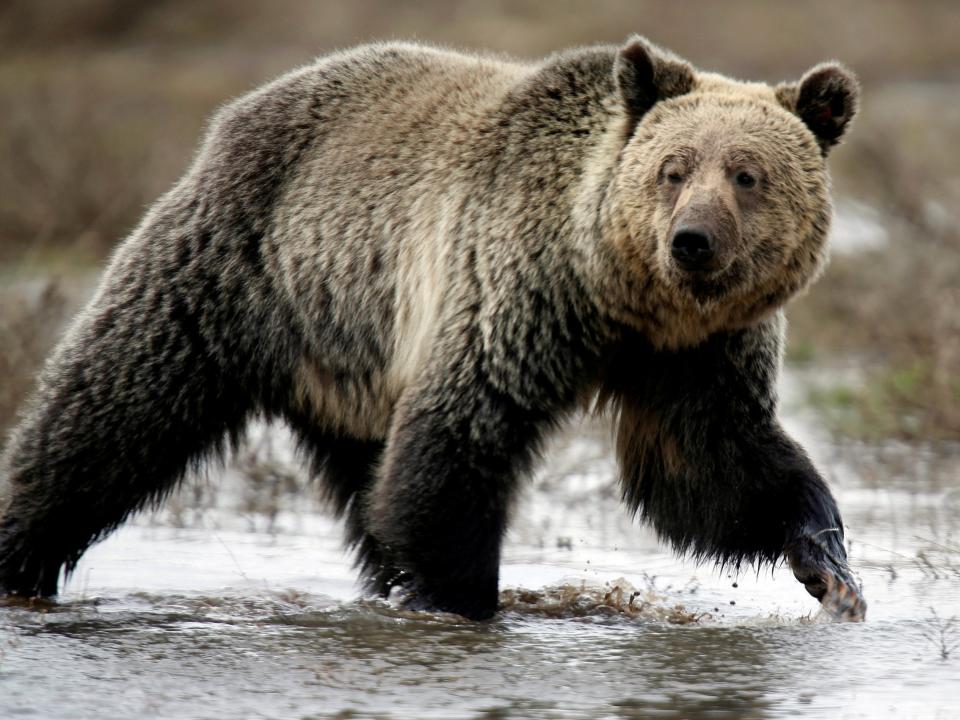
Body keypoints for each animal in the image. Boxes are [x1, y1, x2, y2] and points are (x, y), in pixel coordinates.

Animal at [0, 35, 868, 620]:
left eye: (748, 175)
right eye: (674, 168)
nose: (691, 241)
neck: (621, 297)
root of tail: (241, 109)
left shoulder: (696, 354)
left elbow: (710, 467)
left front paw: (829, 564)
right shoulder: (515, 291)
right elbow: (460, 438)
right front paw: (459, 598)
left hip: (350, 356)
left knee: (366, 482)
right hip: (238, 269)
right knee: (112, 411)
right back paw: (20, 554)